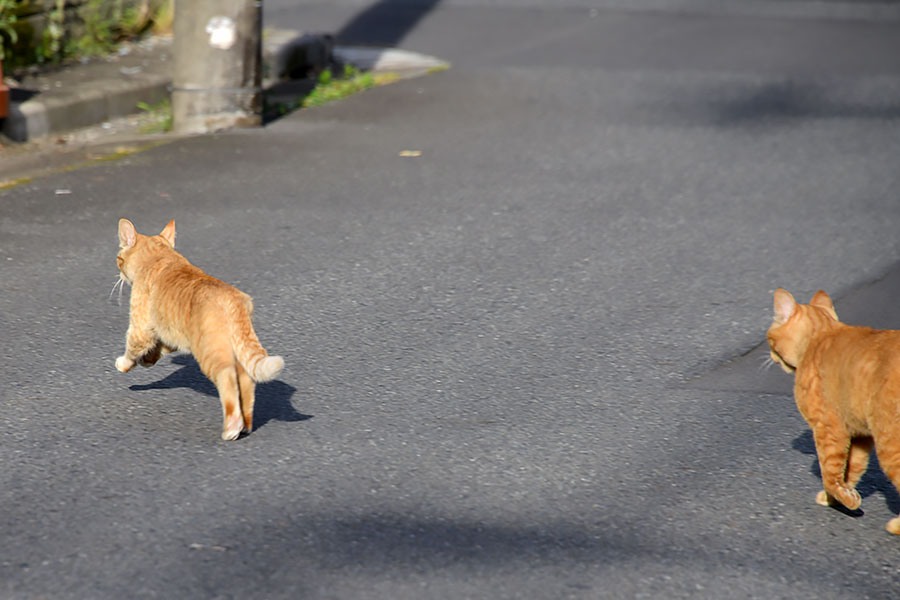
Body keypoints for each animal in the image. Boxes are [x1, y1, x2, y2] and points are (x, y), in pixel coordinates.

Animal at [115, 220, 284, 440]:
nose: (119, 273)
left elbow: (132, 348)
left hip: (210, 354)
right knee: (247, 382)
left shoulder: (140, 328)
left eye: (119, 259)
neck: (160, 256)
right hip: (237, 353)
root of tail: (233, 298)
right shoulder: (172, 334)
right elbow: (159, 348)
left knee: (228, 380)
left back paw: (232, 426)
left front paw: (124, 364)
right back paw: (246, 424)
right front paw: (147, 360)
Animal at [768, 290, 900, 536]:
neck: (821, 334)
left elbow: (829, 470)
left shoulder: (828, 428)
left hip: (889, 444)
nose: (771, 357)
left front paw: (843, 498)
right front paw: (838, 496)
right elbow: (851, 468)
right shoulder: (859, 434)